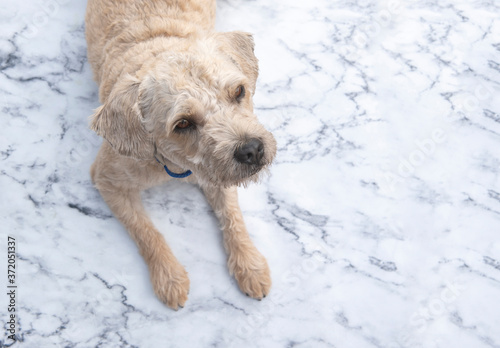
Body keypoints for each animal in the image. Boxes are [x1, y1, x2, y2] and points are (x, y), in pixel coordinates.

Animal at [83, 0, 276, 310]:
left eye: (239, 91)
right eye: (183, 123)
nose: (252, 150)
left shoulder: (218, 176)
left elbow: (232, 215)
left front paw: (250, 265)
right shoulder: (107, 179)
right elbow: (145, 230)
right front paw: (170, 278)